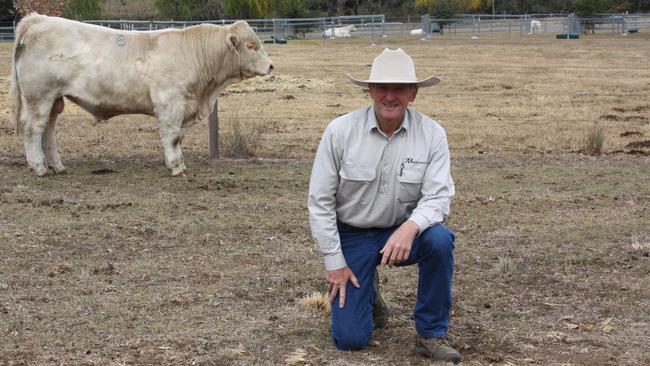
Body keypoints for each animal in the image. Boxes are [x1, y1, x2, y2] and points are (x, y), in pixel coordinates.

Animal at [11, 15, 272, 178]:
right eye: (251, 45)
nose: (271, 66)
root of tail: (39, 19)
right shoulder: (170, 105)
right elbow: (173, 138)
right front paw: (177, 168)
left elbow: (178, 138)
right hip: (39, 97)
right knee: (33, 130)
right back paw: (39, 168)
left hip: (54, 100)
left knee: (48, 130)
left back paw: (58, 167)